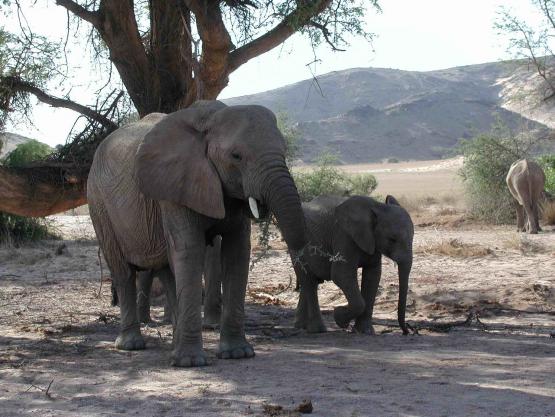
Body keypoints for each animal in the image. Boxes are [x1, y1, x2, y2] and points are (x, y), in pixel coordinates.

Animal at [87, 99, 306, 366]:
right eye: (236, 156)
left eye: (284, 150)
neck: (211, 119)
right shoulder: (175, 184)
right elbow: (190, 248)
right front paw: (190, 362)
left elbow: (237, 252)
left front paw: (237, 354)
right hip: (98, 203)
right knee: (123, 270)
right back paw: (131, 345)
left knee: (167, 270)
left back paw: (173, 345)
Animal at [296, 193, 412, 334]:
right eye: (392, 239)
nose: (407, 330)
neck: (377, 206)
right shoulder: (344, 235)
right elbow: (341, 274)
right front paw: (339, 317)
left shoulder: (372, 240)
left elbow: (373, 275)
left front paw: (365, 332)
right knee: (308, 280)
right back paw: (317, 329)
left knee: (311, 281)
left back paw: (300, 326)